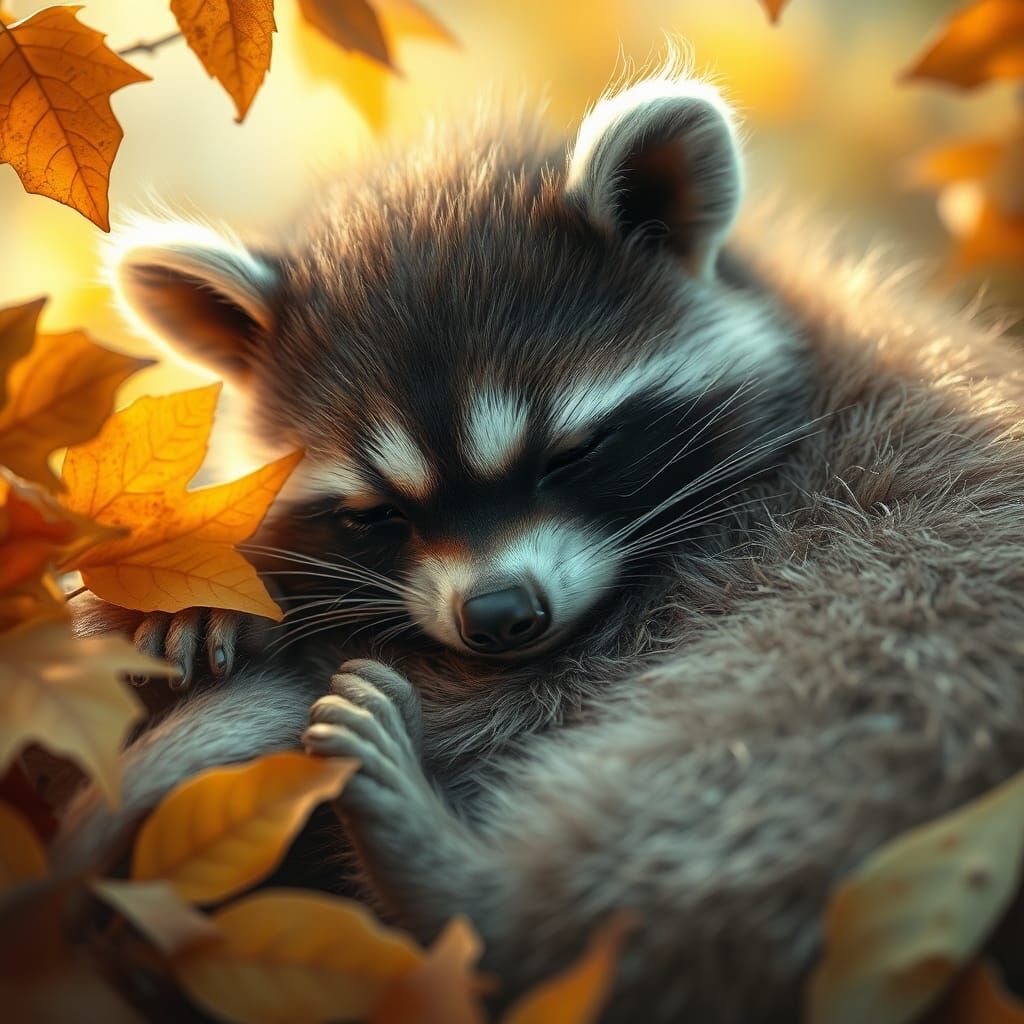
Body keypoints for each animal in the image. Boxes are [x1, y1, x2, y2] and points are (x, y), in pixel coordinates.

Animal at [57, 67, 1024, 1023]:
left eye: (571, 454)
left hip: (893, 654)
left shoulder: (784, 517)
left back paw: (475, 894)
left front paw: (270, 603)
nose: (498, 616)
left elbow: (560, 677)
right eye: (377, 513)